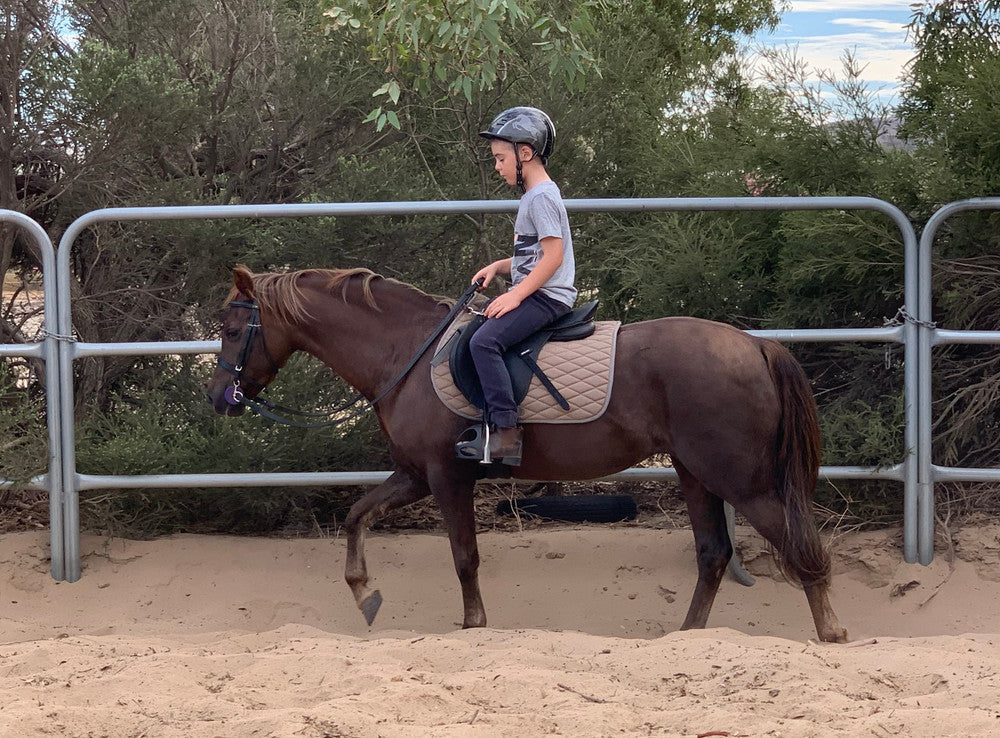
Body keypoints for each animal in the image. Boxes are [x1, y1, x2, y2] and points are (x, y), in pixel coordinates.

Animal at [206, 265, 849, 643]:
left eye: (234, 330)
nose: (218, 398)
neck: (407, 352)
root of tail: (755, 345)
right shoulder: (414, 474)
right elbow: (356, 515)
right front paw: (365, 595)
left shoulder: (446, 476)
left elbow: (464, 556)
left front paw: (473, 626)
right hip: (696, 473)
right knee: (713, 553)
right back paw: (684, 638)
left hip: (743, 481)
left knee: (804, 548)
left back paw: (831, 634)